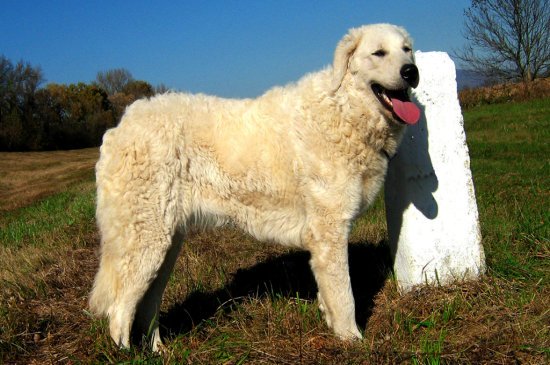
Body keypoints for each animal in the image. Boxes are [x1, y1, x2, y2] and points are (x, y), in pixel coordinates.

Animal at [90, 23, 420, 350]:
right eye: (379, 53)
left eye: (407, 50)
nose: (411, 71)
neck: (345, 109)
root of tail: (121, 126)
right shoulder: (330, 231)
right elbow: (344, 296)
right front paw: (352, 341)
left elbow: (330, 296)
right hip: (146, 240)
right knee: (119, 312)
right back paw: (129, 353)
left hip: (166, 243)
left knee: (147, 305)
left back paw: (159, 351)